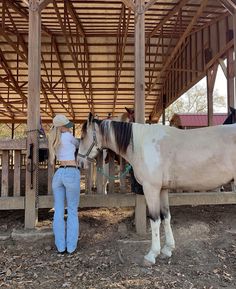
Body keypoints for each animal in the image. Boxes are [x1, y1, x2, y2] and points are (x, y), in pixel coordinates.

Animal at [77, 113, 236, 264]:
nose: (79, 162)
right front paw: (168, 249)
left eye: (83, 136)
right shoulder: (162, 189)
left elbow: (155, 220)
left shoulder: (151, 188)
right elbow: (166, 217)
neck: (142, 145)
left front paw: (152, 254)